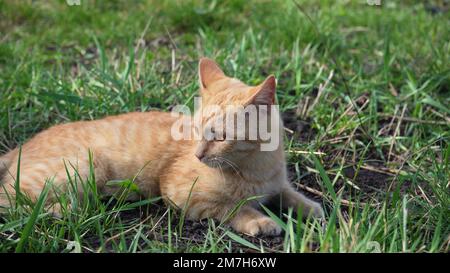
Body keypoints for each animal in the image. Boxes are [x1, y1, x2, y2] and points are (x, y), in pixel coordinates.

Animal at [0, 58, 324, 236]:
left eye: (220, 137)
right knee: (9, 200)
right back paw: (61, 209)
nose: (198, 155)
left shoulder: (277, 184)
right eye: (196, 131)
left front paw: (312, 208)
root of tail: (23, 145)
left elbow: (290, 194)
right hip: (82, 169)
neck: (257, 169)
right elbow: (232, 207)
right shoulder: (180, 193)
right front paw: (259, 220)